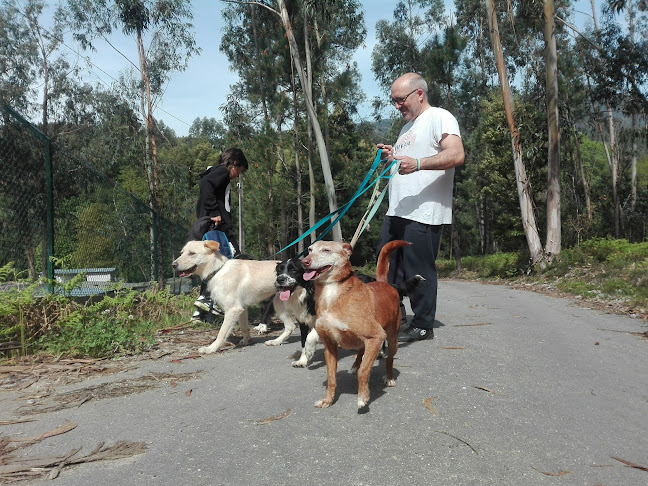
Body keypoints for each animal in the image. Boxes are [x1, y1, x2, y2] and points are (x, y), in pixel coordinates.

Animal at [300, 239, 410, 410]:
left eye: (326, 250)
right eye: (310, 250)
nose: (304, 262)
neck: (331, 292)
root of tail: (383, 283)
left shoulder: (376, 336)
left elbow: (364, 370)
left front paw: (363, 397)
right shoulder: (329, 345)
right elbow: (331, 377)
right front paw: (328, 400)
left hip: (392, 339)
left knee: (389, 359)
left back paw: (389, 377)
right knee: (361, 350)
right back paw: (355, 365)